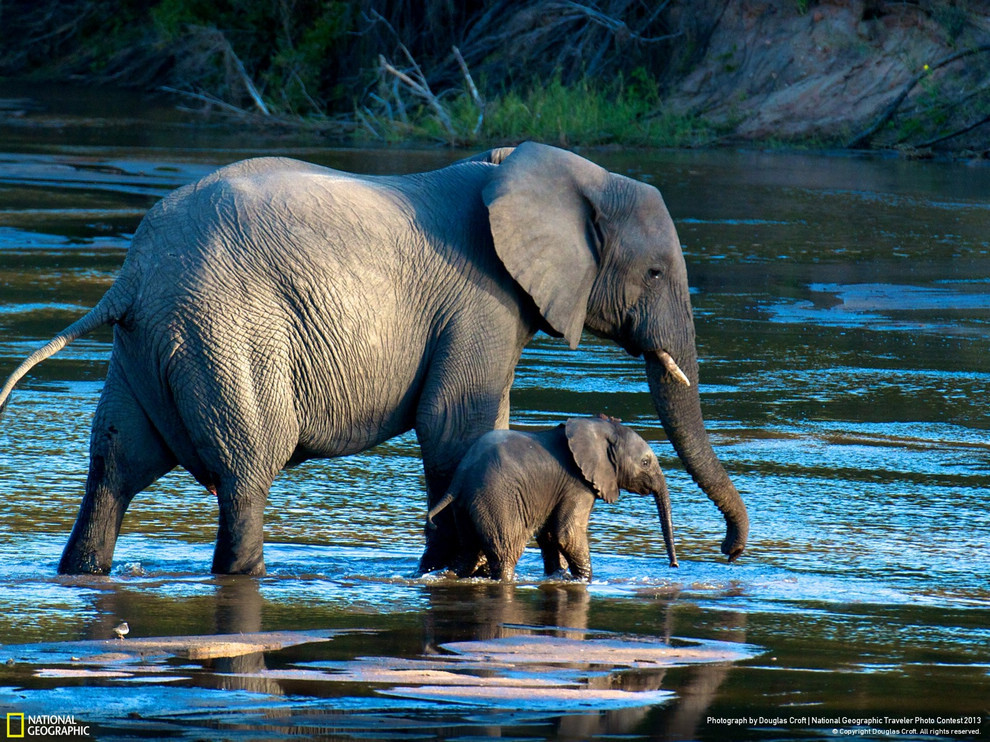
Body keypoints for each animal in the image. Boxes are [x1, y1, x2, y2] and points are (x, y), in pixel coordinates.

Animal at [430, 416, 680, 584]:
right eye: (645, 463)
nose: (674, 565)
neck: (599, 427)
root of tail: (460, 477)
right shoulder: (577, 484)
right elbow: (567, 534)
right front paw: (583, 580)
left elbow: (550, 535)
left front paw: (559, 576)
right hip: (496, 498)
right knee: (505, 552)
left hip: (466, 505)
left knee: (469, 552)